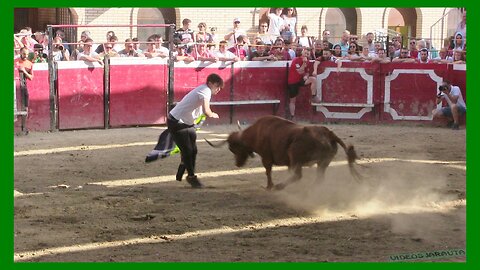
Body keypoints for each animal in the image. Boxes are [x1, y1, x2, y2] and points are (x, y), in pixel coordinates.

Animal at [204, 115, 362, 190]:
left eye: (233, 148)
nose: (237, 164)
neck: (256, 132)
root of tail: (329, 133)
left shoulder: (266, 158)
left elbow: (268, 172)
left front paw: (269, 186)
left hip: (295, 156)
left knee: (298, 175)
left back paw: (279, 187)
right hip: (323, 162)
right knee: (319, 178)